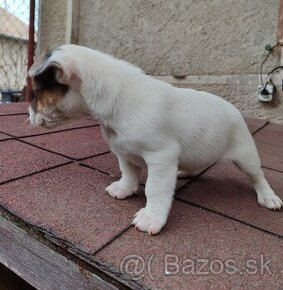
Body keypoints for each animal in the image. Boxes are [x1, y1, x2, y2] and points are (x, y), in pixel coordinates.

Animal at [28, 44, 282, 236]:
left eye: (36, 93)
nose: (28, 115)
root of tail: (234, 110)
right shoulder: (123, 152)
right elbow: (128, 172)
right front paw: (125, 188)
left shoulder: (161, 158)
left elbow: (155, 189)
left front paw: (152, 217)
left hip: (246, 155)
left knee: (257, 177)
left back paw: (268, 197)